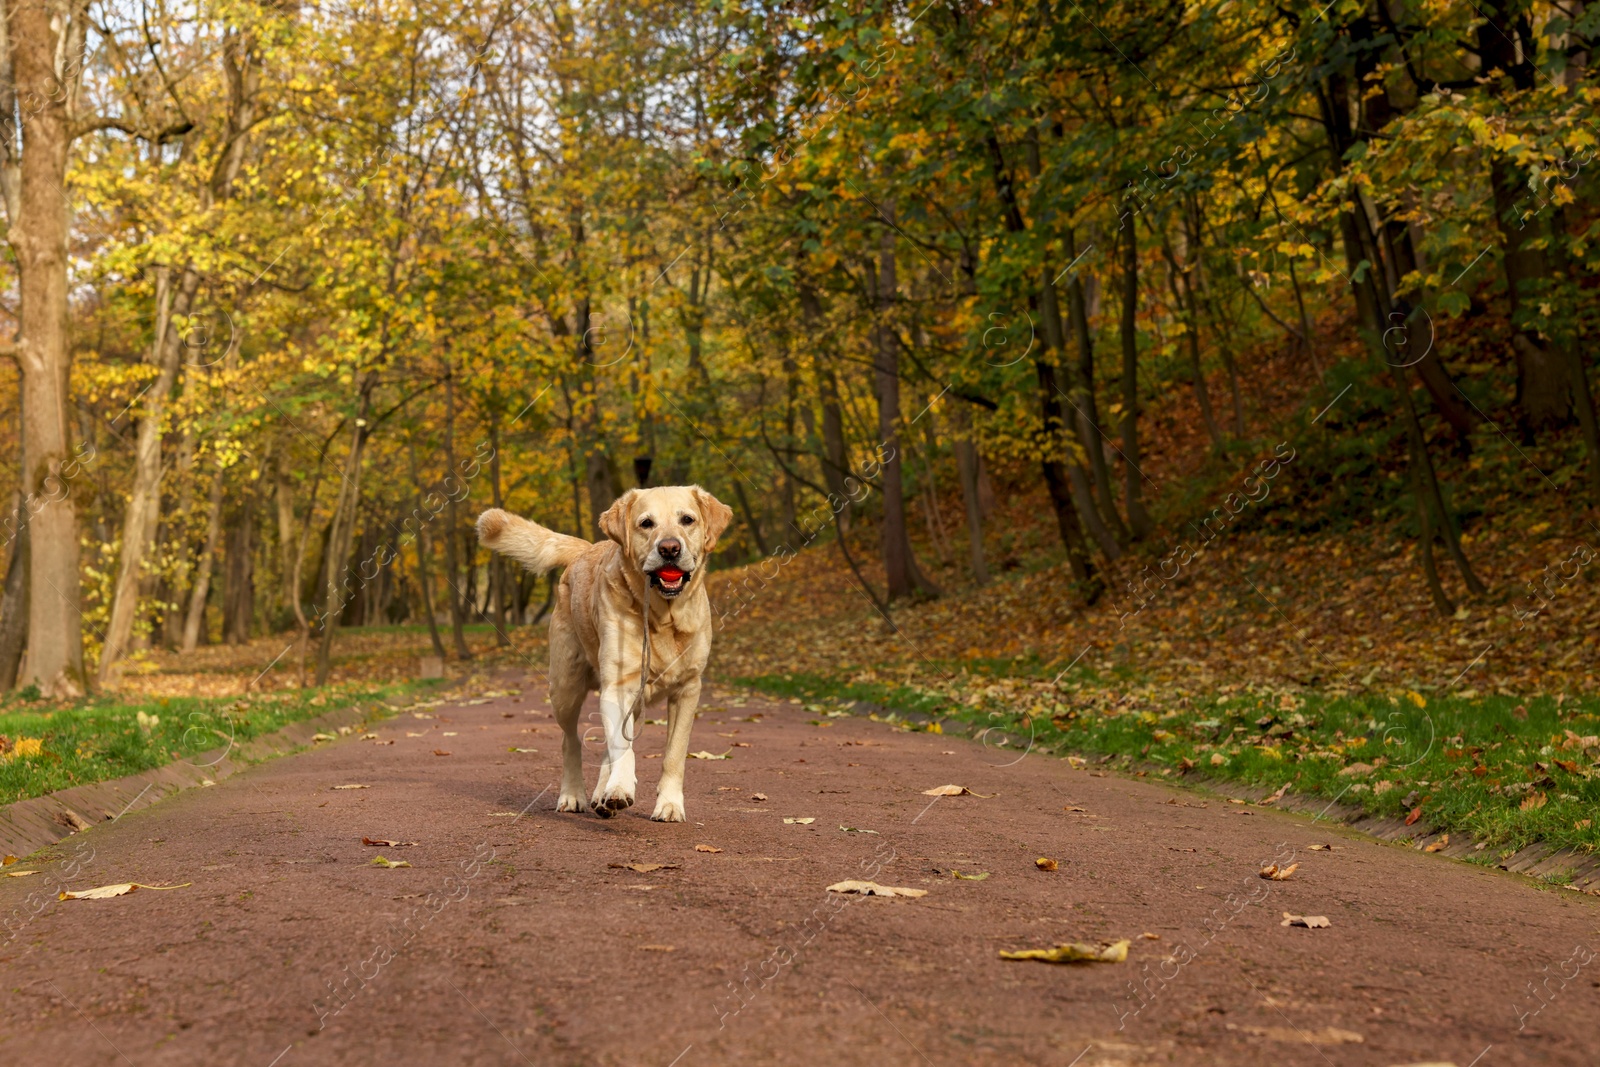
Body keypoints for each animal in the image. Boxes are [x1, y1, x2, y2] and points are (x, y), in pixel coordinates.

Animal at [467, 489, 732, 825]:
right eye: (646, 523)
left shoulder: (687, 689)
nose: (669, 548)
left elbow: (674, 753)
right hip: (565, 688)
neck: (662, 617)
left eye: (687, 519)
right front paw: (619, 787)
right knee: (570, 741)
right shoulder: (618, 686)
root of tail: (586, 548)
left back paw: (602, 795)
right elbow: (621, 747)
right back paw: (574, 795)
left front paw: (669, 804)